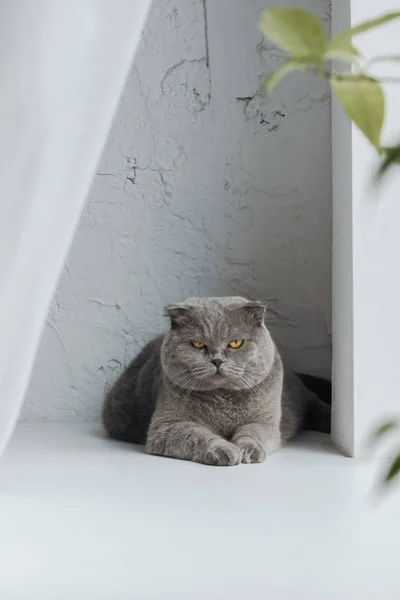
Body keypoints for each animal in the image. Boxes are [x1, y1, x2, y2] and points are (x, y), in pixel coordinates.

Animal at [103, 298, 332, 466]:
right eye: (197, 344)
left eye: (236, 343)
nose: (217, 360)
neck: (224, 398)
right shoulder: (166, 426)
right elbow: (196, 435)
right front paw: (225, 450)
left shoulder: (265, 421)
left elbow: (254, 432)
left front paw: (248, 450)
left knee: (316, 405)